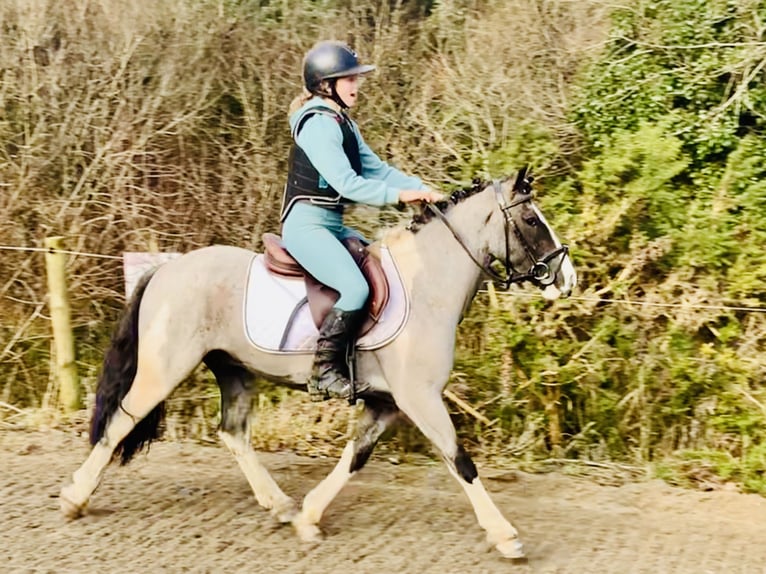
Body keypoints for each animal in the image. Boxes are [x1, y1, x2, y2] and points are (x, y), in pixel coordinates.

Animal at [58, 168, 576, 564]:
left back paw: (281, 506)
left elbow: (355, 457)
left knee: (233, 433)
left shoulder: (387, 403)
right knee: (122, 421)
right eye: (531, 219)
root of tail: (167, 267)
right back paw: (75, 497)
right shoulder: (420, 398)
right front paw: (506, 537)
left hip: (233, 368)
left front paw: (308, 518)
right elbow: (460, 461)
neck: (427, 284)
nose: (566, 278)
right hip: (164, 369)